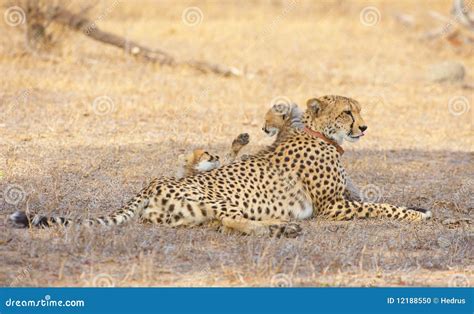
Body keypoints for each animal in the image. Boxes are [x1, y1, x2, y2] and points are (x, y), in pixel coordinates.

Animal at [10, 94, 434, 237]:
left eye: (359, 111)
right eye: (348, 112)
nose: (364, 127)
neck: (321, 133)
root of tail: (150, 184)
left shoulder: (347, 197)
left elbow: (389, 200)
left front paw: (421, 206)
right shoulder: (335, 207)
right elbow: (384, 207)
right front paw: (418, 216)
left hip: (189, 213)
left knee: (219, 222)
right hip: (216, 198)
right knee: (233, 219)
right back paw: (282, 228)